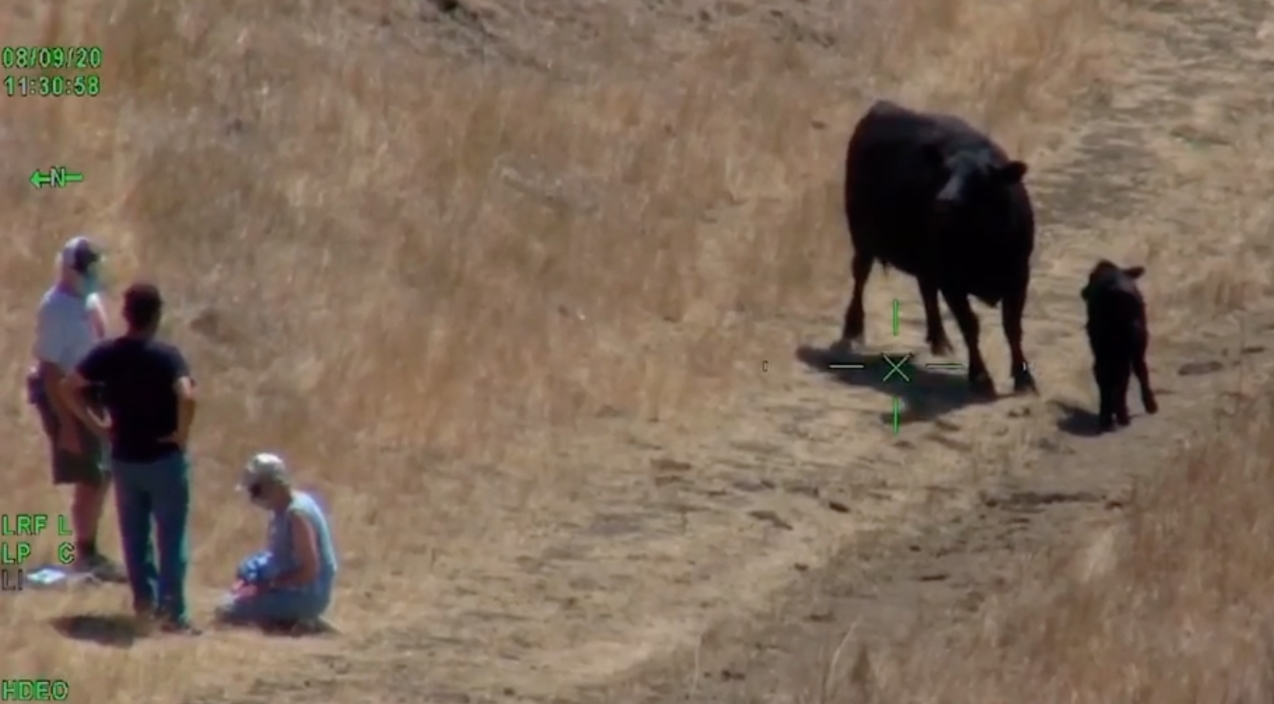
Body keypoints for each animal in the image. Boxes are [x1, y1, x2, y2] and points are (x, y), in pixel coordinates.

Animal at [837, 100, 1037, 398]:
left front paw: (1024, 378)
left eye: (979, 178)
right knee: (860, 276)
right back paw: (852, 329)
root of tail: (882, 107)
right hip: (862, 236)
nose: (944, 201)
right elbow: (970, 325)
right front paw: (981, 377)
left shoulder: (1018, 275)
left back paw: (938, 339)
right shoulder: (952, 282)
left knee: (926, 289)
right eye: (944, 173)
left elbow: (1012, 327)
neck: (983, 243)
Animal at [1081, 260, 1158, 432]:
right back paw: (1127, 414)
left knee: (1107, 378)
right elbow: (1139, 372)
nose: (1083, 292)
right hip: (1130, 349)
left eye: (1090, 277)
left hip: (1106, 351)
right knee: (1130, 374)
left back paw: (1108, 418)